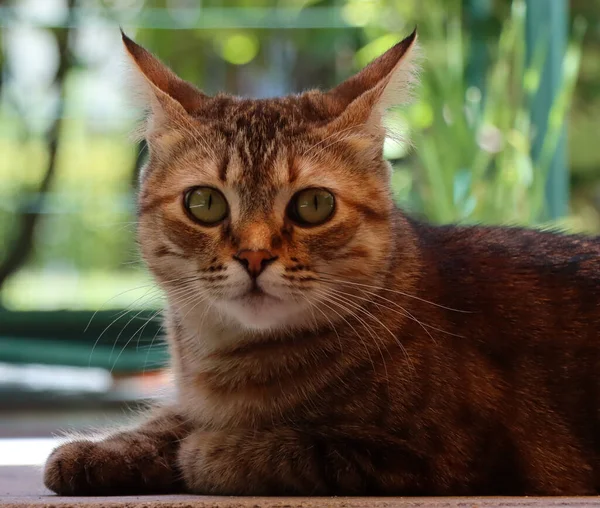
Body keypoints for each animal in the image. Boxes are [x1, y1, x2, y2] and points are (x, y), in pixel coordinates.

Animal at [43, 28, 600, 496]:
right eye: (204, 203)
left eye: (314, 205)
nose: (254, 255)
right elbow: (165, 418)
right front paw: (102, 450)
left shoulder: (439, 455)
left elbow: (283, 449)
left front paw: (206, 451)